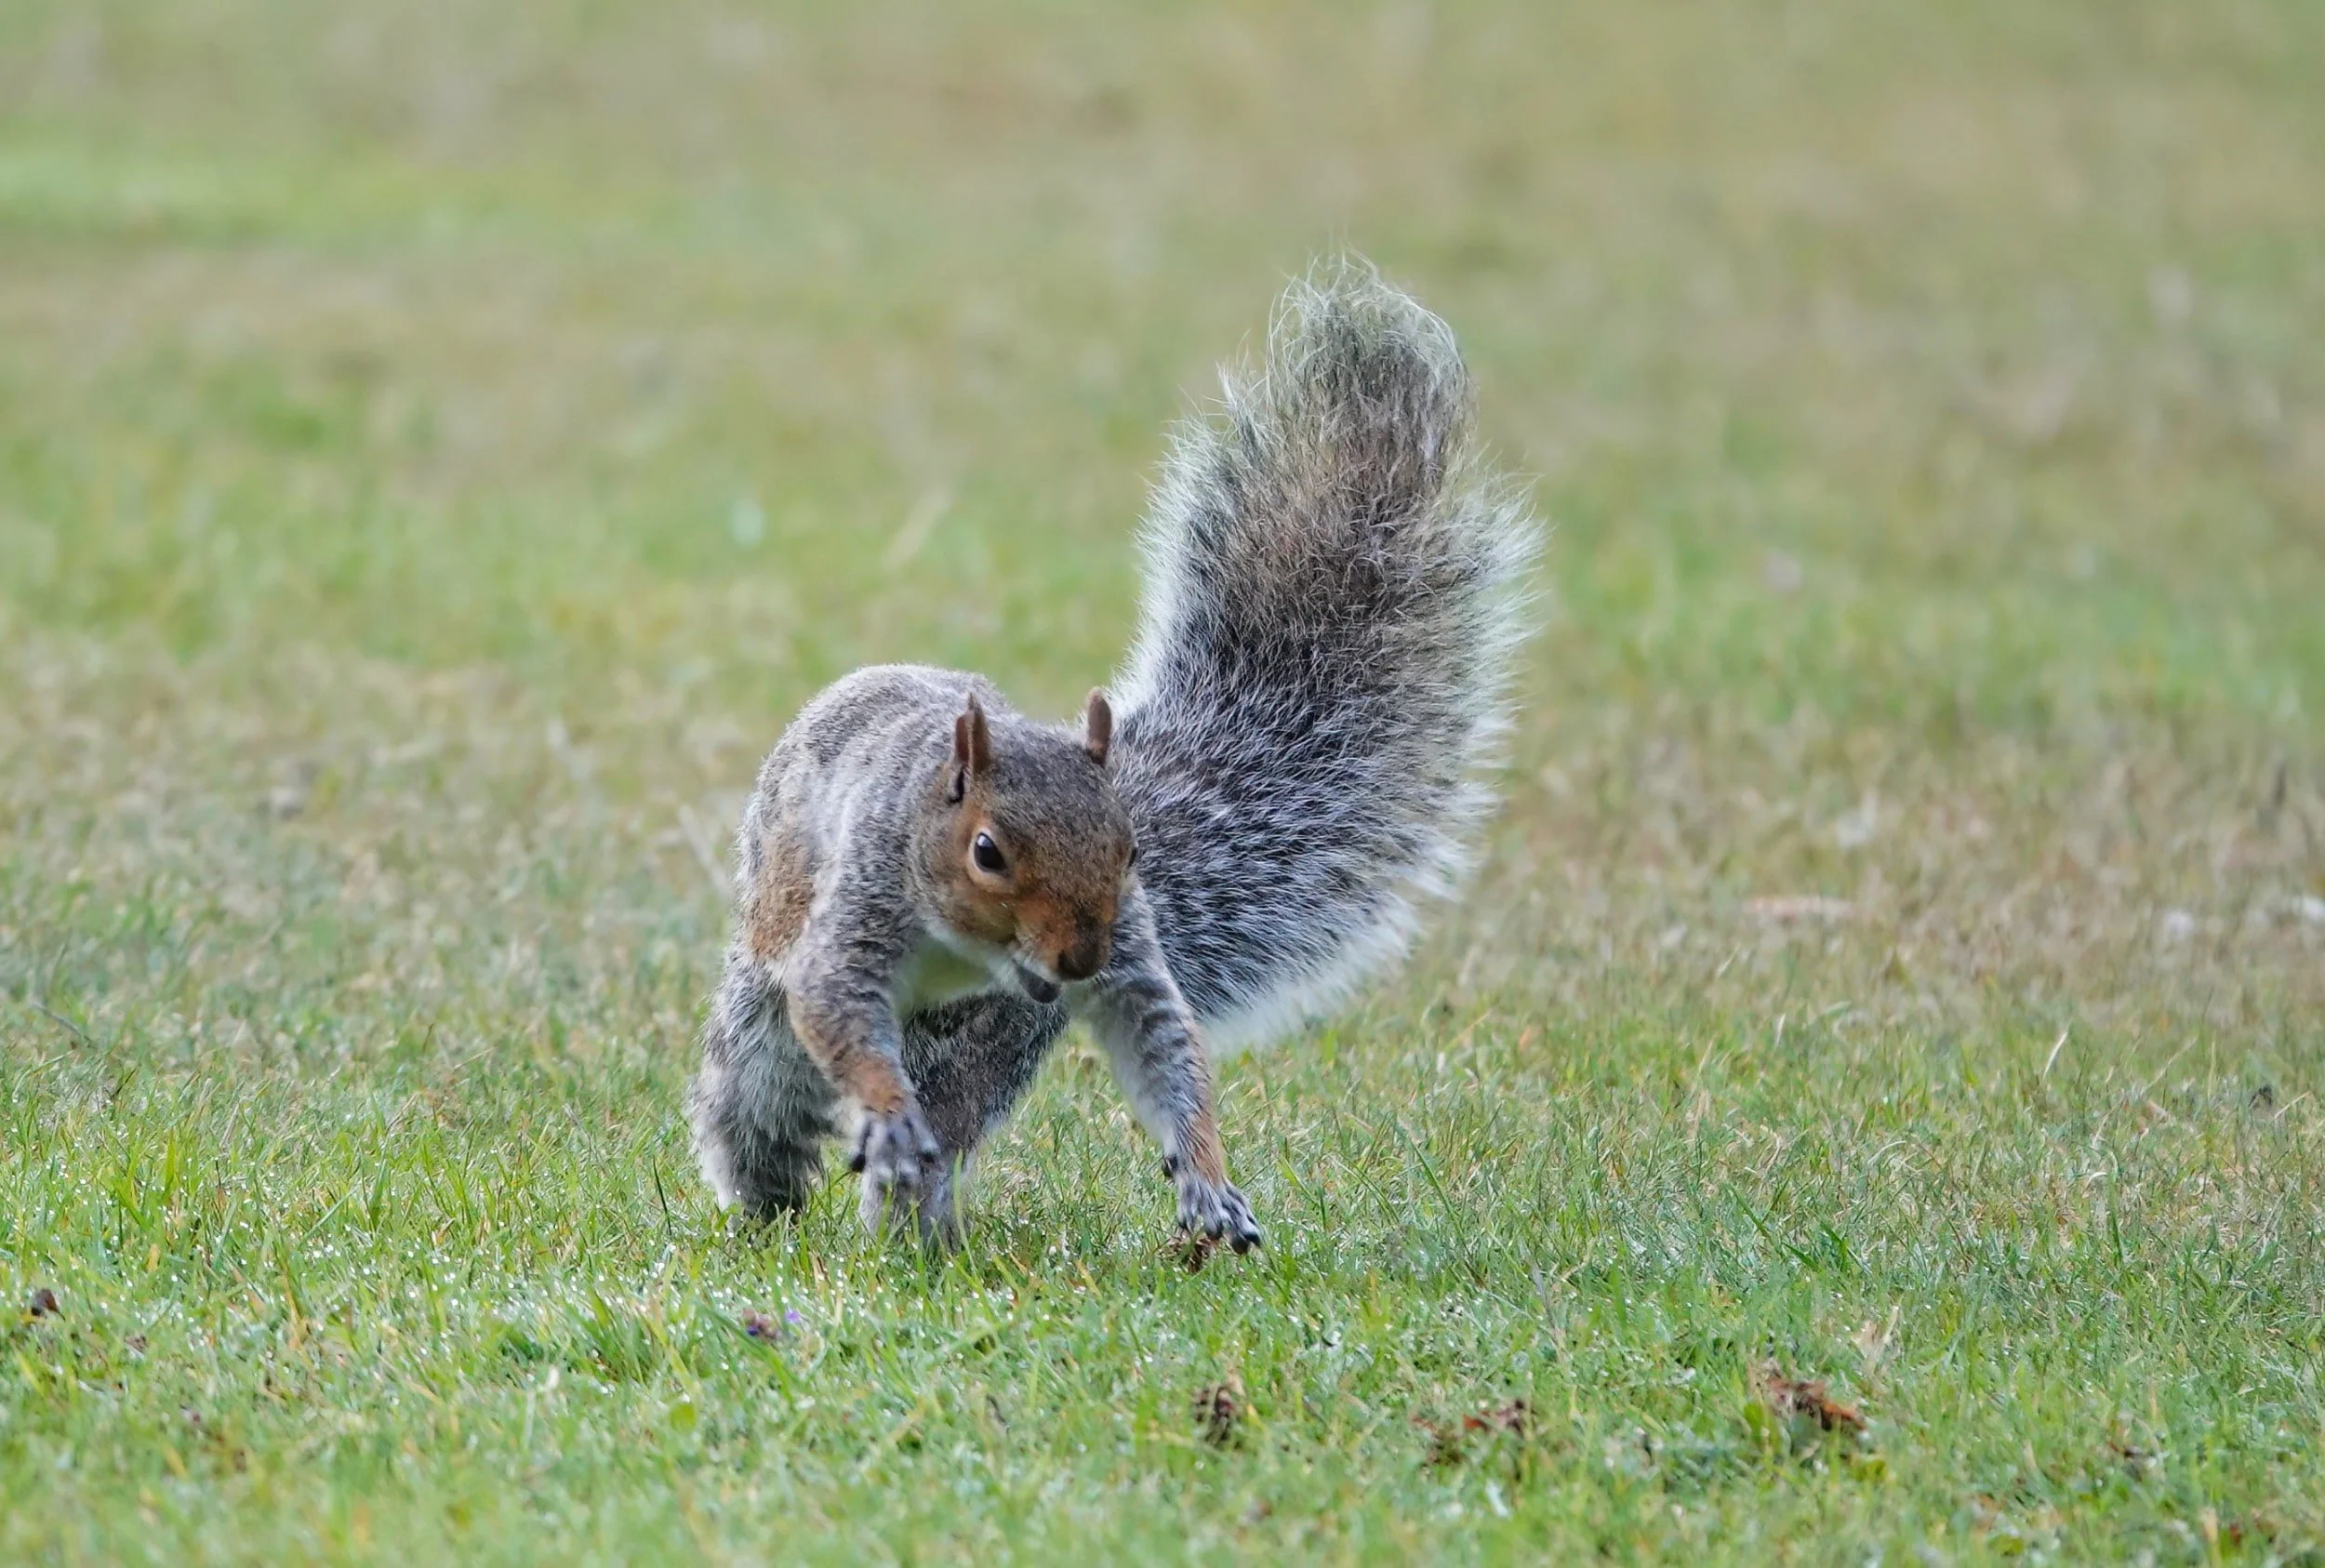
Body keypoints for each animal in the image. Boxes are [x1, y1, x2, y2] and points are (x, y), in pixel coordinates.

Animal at [687, 259, 1537, 1248]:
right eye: (987, 852)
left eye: (1132, 850)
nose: (1078, 960)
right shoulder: (858, 907)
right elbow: (836, 1005)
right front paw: (883, 1110)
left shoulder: (1122, 949)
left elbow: (1159, 1035)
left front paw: (1206, 1176)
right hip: (767, 1020)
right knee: (759, 1108)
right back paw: (779, 1211)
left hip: (987, 1038)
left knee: (944, 1118)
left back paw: (917, 1231)